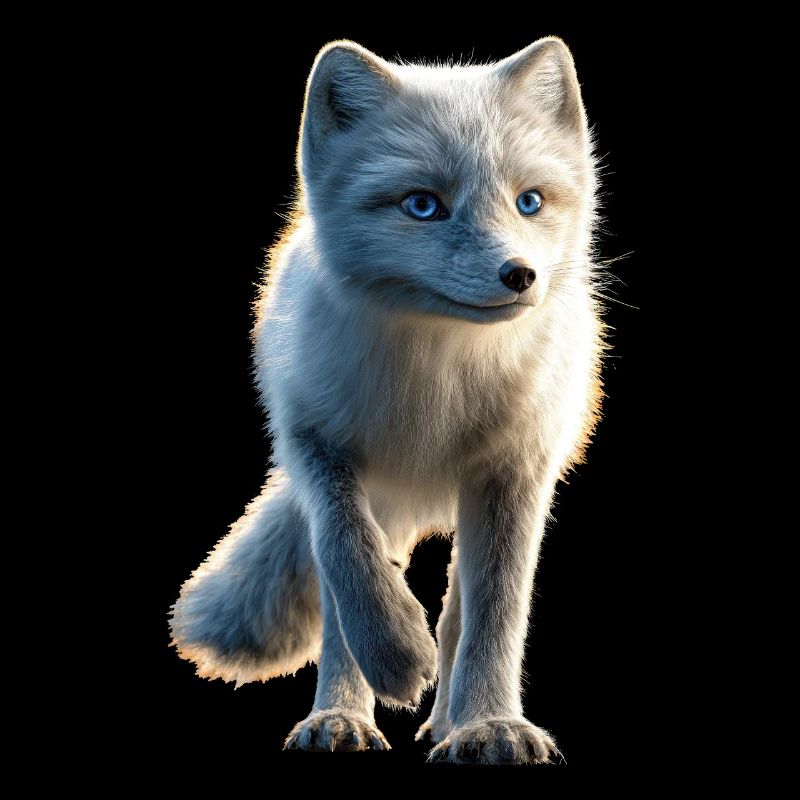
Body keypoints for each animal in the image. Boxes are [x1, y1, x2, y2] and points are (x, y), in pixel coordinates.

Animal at [170, 36, 605, 765]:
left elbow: (495, 614)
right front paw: (389, 663)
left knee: (461, 609)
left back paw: (451, 721)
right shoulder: (316, 443)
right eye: (422, 206)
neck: (435, 381)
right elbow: (348, 564)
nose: (520, 275)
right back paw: (354, 711)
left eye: (530, 202)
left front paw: (491, 726)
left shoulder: (517, 468)